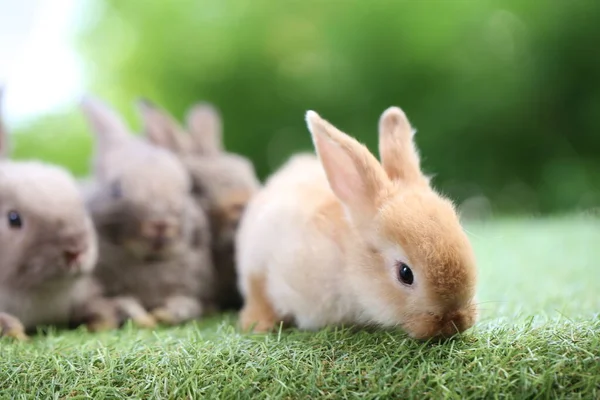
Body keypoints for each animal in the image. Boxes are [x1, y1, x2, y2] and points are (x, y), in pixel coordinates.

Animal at [79, 94, 216, 328]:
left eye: (187, 189)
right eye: (116, 190)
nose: (161, 224)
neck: (150, 260)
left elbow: (186, 303)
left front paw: (167, 314)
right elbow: (122, 301)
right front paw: (141, 318)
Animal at [234, 107, 478, 340]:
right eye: (405, 273)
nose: (455, 321)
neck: (347, 263)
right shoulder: (261, 259)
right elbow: (259, 292)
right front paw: (258, 326)